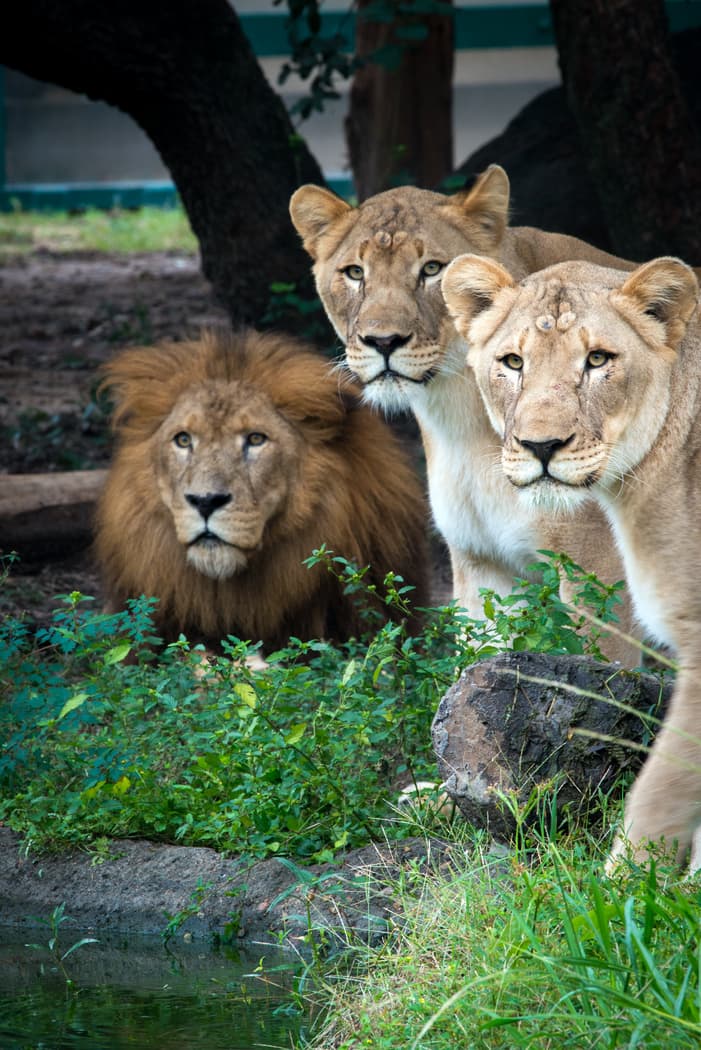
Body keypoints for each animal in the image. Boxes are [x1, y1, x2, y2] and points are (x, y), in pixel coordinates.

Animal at [289, 166, 639, 663]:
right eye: (355, 273)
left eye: (432, 269)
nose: (383, 341)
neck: (461, 419)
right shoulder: (482, 563)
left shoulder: (598, 574)